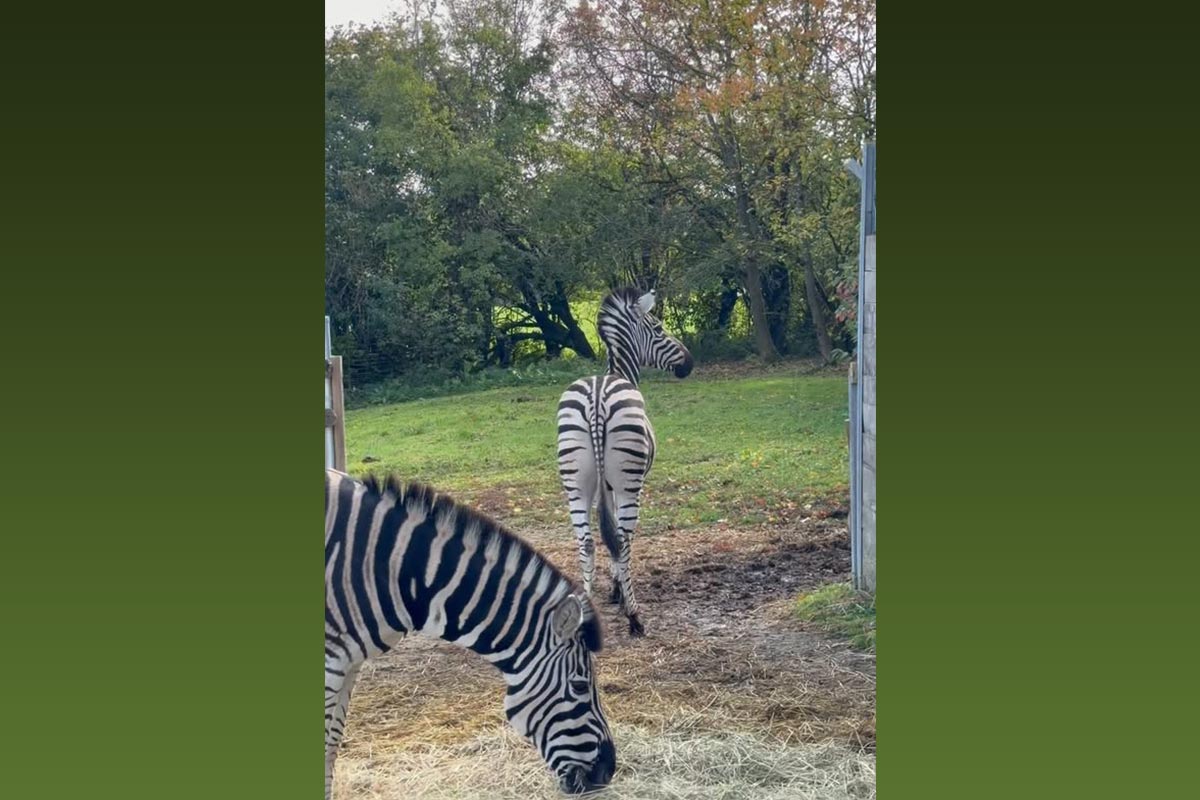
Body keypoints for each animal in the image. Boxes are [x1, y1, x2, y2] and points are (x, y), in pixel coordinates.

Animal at [556, 288, 693, 636]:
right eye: (658, 328)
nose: (689, 363)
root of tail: (595, 400)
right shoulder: (618, 486)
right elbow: (619, 536)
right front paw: (619, 592)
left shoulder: (602, 486)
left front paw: (612, 589)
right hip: (631, 482)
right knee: (623, 538)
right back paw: (635, 617)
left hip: (575, 483)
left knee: (587, 542)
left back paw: (585, 614)